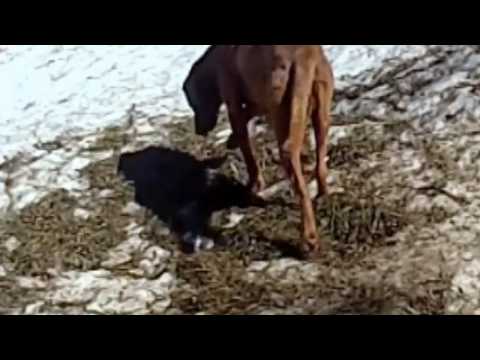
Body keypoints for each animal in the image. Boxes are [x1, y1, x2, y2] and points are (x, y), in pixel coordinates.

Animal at [182, 44, 336, 253]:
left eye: (193, 103)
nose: (199, 131)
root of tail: (305, 56)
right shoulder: (258, 98)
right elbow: (251, 110)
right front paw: (231, 140)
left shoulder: (234, 104)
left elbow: (247, 149)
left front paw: (254, 184)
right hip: (321, 114)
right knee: (320, 157)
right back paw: (322, 192)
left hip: (281, 115)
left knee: (296, 173)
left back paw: (309, 239)